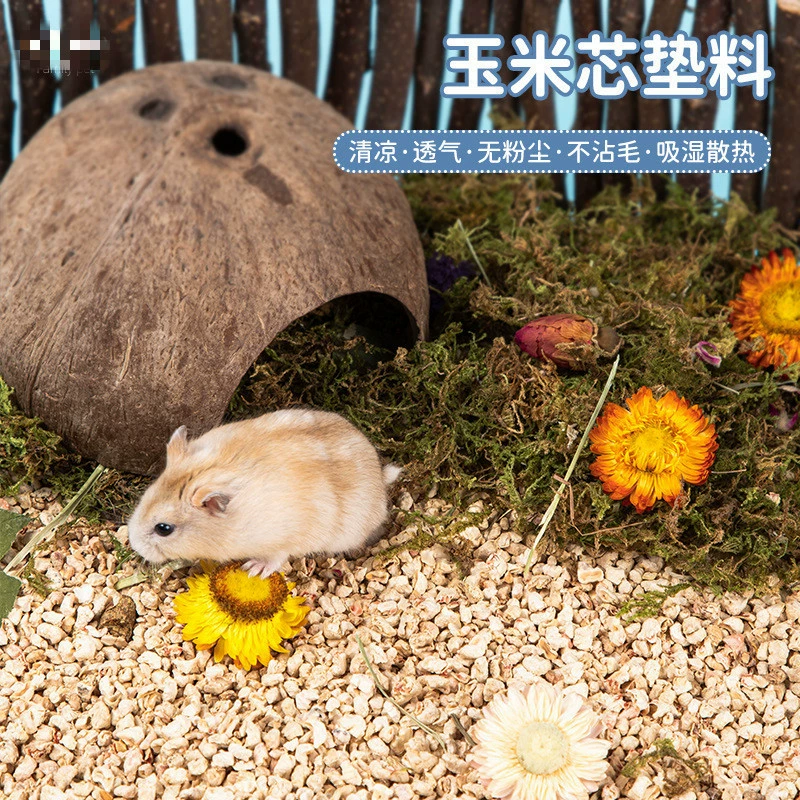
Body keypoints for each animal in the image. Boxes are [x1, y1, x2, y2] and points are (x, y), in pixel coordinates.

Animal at [126, 409, 401, 578]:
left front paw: (252, 569)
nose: (134, 546)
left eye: (164, 529)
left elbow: (275, 558)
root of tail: (380, 476)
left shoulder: (283, 539)